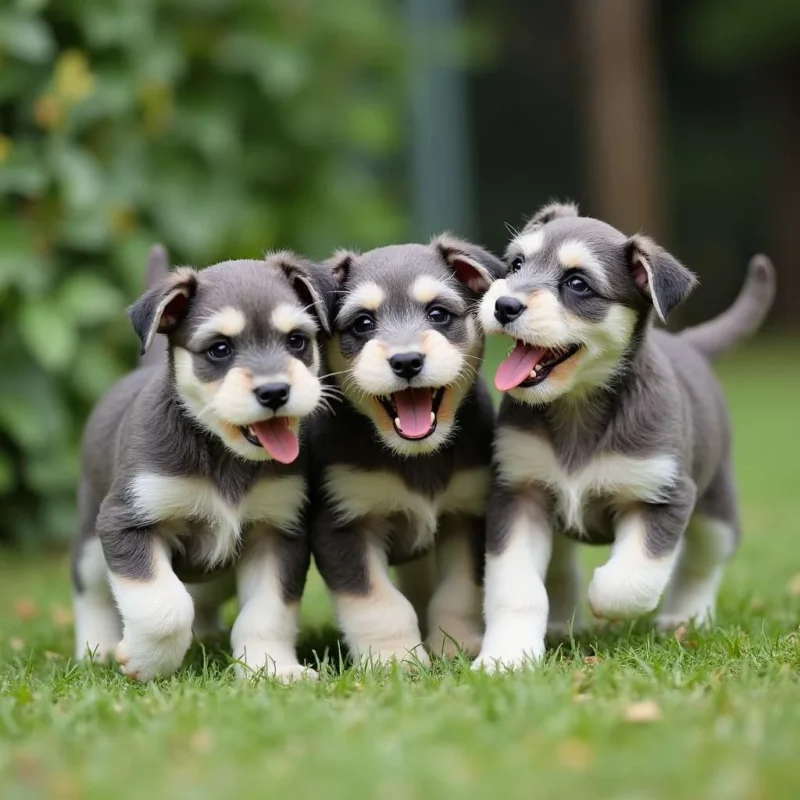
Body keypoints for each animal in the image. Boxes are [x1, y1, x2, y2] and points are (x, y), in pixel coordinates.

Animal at [69, 248, 332, 680]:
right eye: (219, 349)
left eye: (297, 340)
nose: (275, 391)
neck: (223, 455)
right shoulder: (127, 523)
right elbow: (165, 608)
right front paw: (146, 661)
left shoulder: (278, 533)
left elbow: (266, 614)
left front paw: (272, 668)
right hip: (92, 544)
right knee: (92, 597)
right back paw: (99, 650)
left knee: (204, 599)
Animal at [310, 234, 506, 664]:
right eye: (363, 323)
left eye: (438, 314)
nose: (407, 361)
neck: (414, 456)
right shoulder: (342, 524)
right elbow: (378, 602)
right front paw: (396, 658)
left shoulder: (466, 515)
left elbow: (458, 591)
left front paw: (454, 644)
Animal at [476, 203, 776, 672]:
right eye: (517, 265)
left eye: (577, 284)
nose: (504, 304)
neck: (577, 408)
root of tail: (689, 345)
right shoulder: (518, 494)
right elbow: (517, 590)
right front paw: (506, 657)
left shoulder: (665, 495)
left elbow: (628, 580)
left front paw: (604, 602)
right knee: (561, 568)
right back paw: (562, 623)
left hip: (716, 512)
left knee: (700, 566)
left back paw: (685, 619)